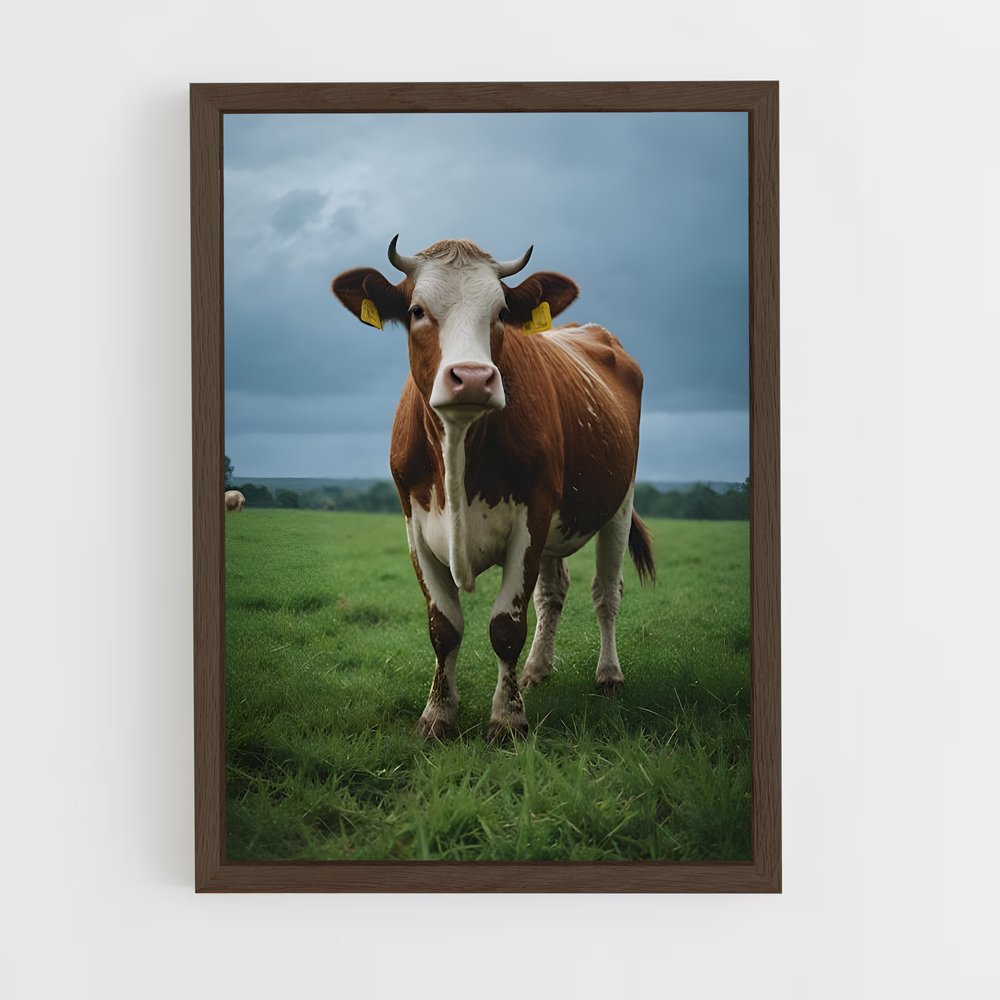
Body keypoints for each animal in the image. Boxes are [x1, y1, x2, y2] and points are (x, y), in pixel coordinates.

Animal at [332, 237, 654, 740]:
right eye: (417, 310)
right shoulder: (414, 522)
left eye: (502, 312)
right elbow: (444, 626)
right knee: (552, 593)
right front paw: (437, 715)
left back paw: (609, 676)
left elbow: (506, 626)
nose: (472, 377)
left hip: (619, 503)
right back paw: (537, 670)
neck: (460, 447)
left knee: (606, 592)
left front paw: (507, 718)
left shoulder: (532, 516)